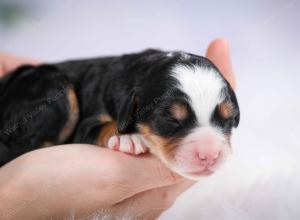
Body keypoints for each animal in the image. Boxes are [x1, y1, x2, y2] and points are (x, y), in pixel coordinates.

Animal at [0, 49, 239, 180]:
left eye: (227, 119)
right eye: (170, 119)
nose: (210, 155)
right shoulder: (86, 124)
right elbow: (101, 126)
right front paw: (128, 138)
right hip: (56, 88)